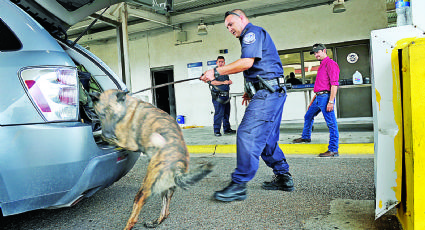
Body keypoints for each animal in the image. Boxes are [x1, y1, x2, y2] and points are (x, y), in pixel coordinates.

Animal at [91, 89, 214, 228]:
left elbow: (107, 137)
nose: (108, 133)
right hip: (165, 189)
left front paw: (100, 135)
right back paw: (155, 222)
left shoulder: (127, 141)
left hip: (146, 188)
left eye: (115, 116)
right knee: (166, 212)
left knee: (135, 214)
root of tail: (176, 165)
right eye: (101, 115)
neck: (126, 106)